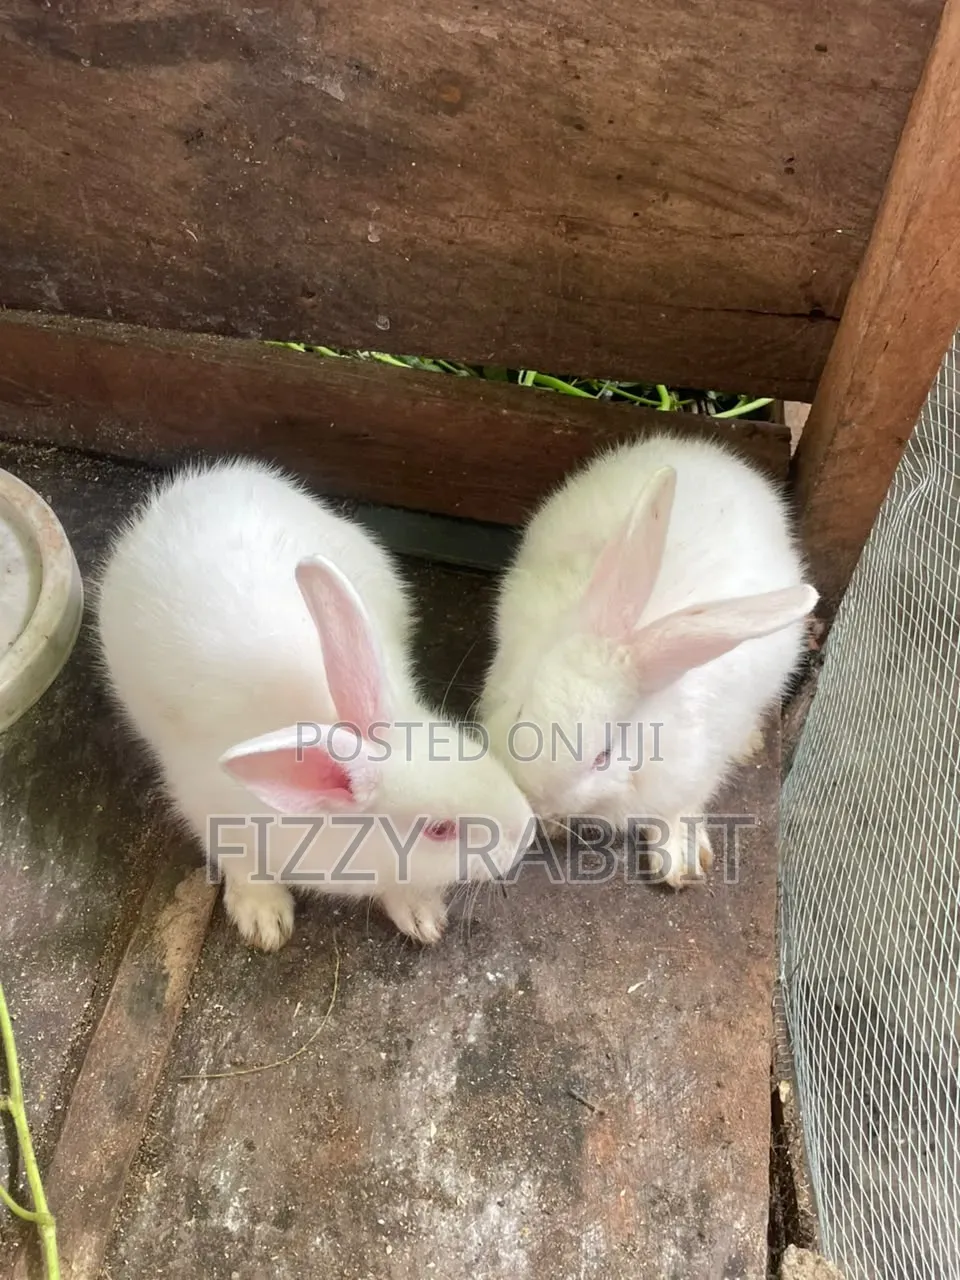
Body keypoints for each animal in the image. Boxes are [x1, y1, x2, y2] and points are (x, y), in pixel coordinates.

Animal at [95, 457, 535, 951]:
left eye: (470, 747)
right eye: (438, 830)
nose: (527, 832)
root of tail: (210, 478)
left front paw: (422, 914)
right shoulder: (208, 810)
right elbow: (240, 864)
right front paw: (264, 919)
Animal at [478, 432, 818, 888]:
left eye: (603, 756)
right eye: (518, 712)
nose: (533, 799)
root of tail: (713, 455)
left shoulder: (695, 767)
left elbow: (678, 808)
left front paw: (679, 858)